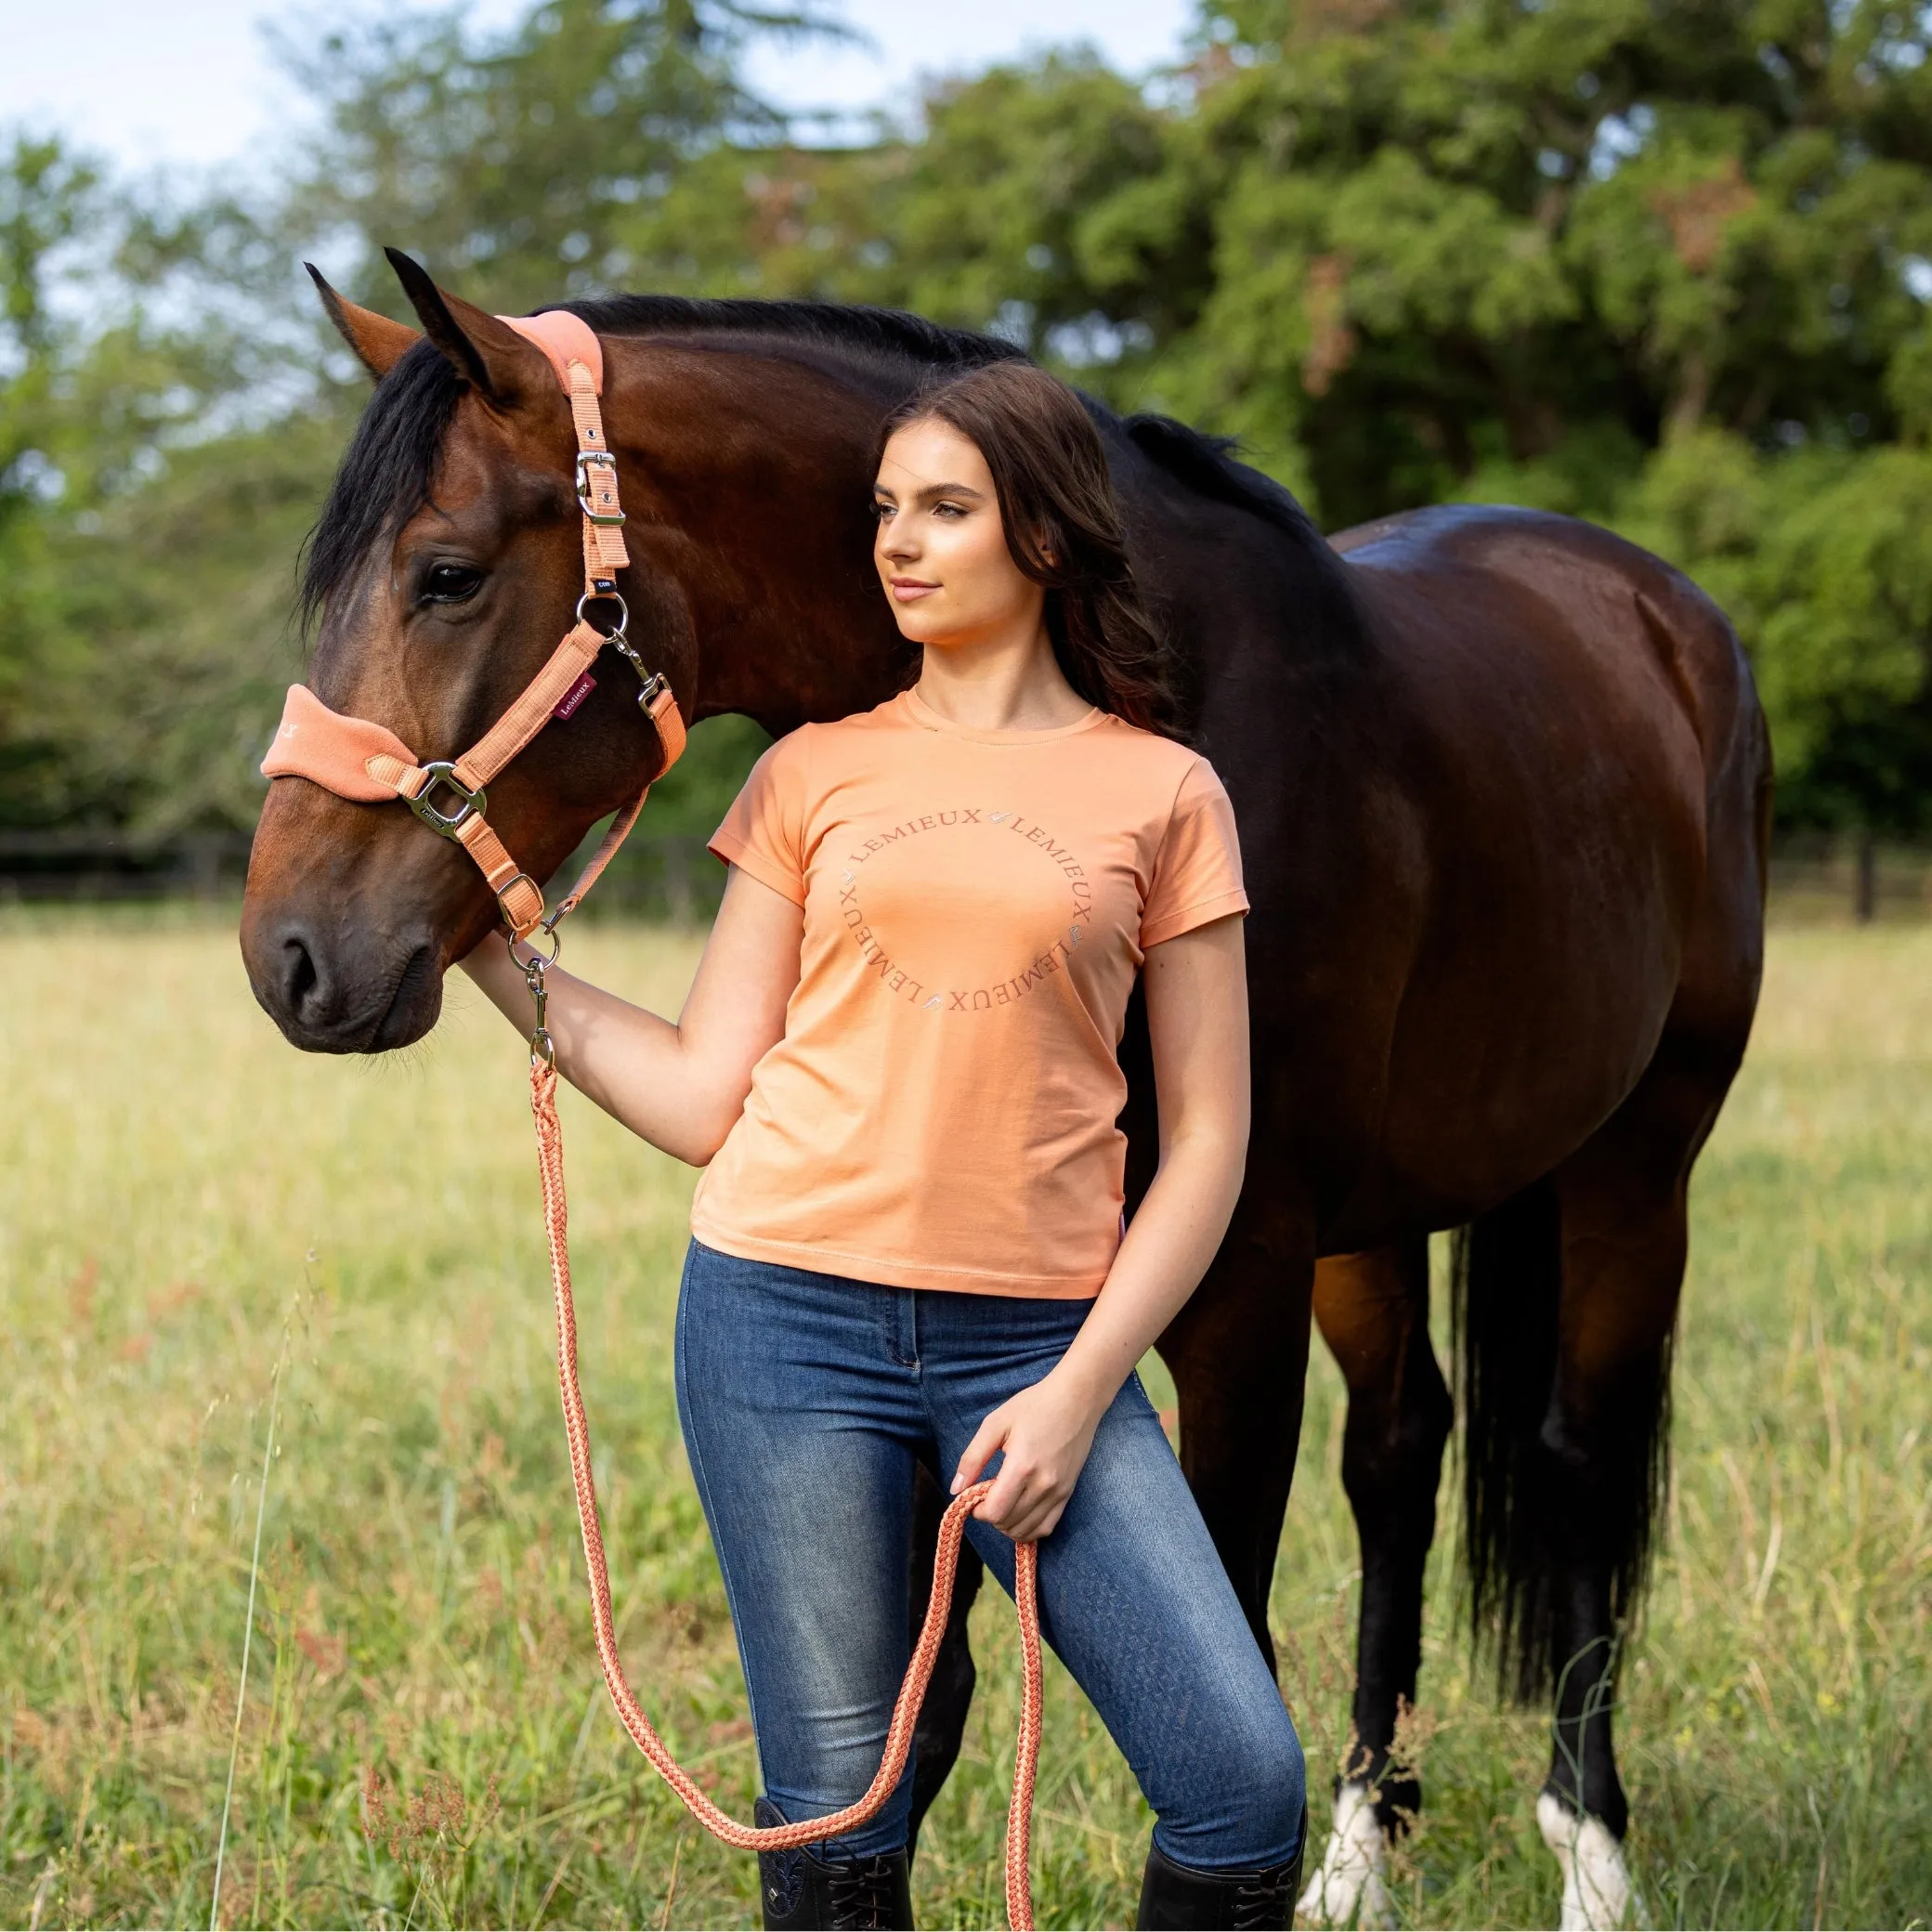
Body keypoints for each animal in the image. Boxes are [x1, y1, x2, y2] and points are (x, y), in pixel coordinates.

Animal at [242, 253, 1769, 1916]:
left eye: (448, 575)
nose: (290, 957)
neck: (1179, 685)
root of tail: (1661, 614)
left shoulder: (1235, 1276)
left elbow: (1222, 1649)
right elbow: (910, 1728)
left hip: (1639, 1163)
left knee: (1576, 1464)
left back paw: (1592, 1854)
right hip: (1383, 1218)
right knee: (1401, 1457)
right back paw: (1365, 1853)